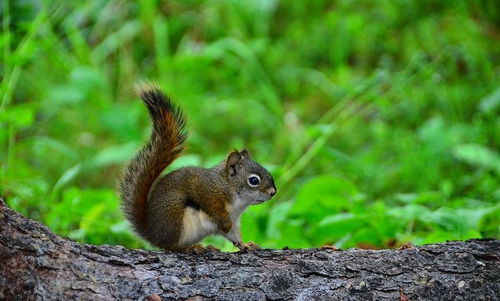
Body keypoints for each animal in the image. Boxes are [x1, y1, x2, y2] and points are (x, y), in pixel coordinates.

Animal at [120, 85, 278, 252]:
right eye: (254, 180)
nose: (273, 192)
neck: (230, 188)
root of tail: (152, 233)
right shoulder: (207, 190)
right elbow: (213, 208)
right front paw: (225, 223)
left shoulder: (235, 220)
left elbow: (234, 235)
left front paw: (246, 244)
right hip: (177, 219)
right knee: (169, 246)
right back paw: (191, 248)